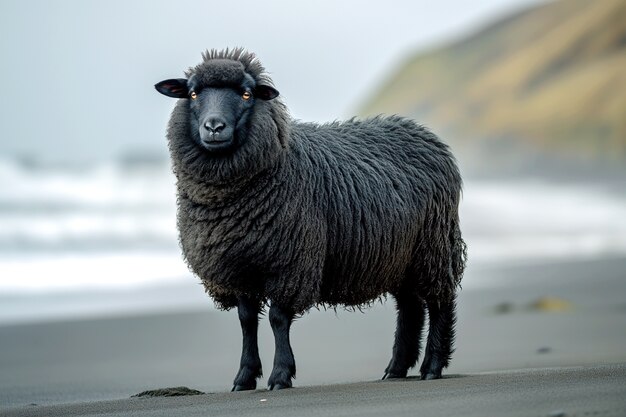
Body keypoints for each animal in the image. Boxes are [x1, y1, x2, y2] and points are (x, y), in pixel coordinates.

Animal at [155, 48, 464, 390]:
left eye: (247, 93)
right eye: (194, 93)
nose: (213, 126)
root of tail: (427, 136)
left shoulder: (290, 262)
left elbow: (277, 318)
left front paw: (280, 375)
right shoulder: (240, 266)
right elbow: (246, 321)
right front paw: (245, 377)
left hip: (433, 245)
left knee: (439, 301)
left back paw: (432, 366)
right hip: (401, 255)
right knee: (410, 307)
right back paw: (396, 368)